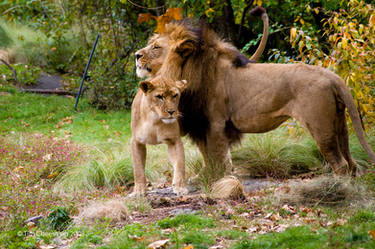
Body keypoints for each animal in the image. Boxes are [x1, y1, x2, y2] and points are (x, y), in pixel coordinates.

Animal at [134, 17, 374, 177]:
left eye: (156, 47)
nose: (136, 55)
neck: (184, 70)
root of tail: (332, 76)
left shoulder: (215, 124)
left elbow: (217, 159)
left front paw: (218, 183)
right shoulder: (201, 125)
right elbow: (207, 157)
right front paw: (205, 178)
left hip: (320, 126)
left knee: (340, 164)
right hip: (339, 123)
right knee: (351, 162)